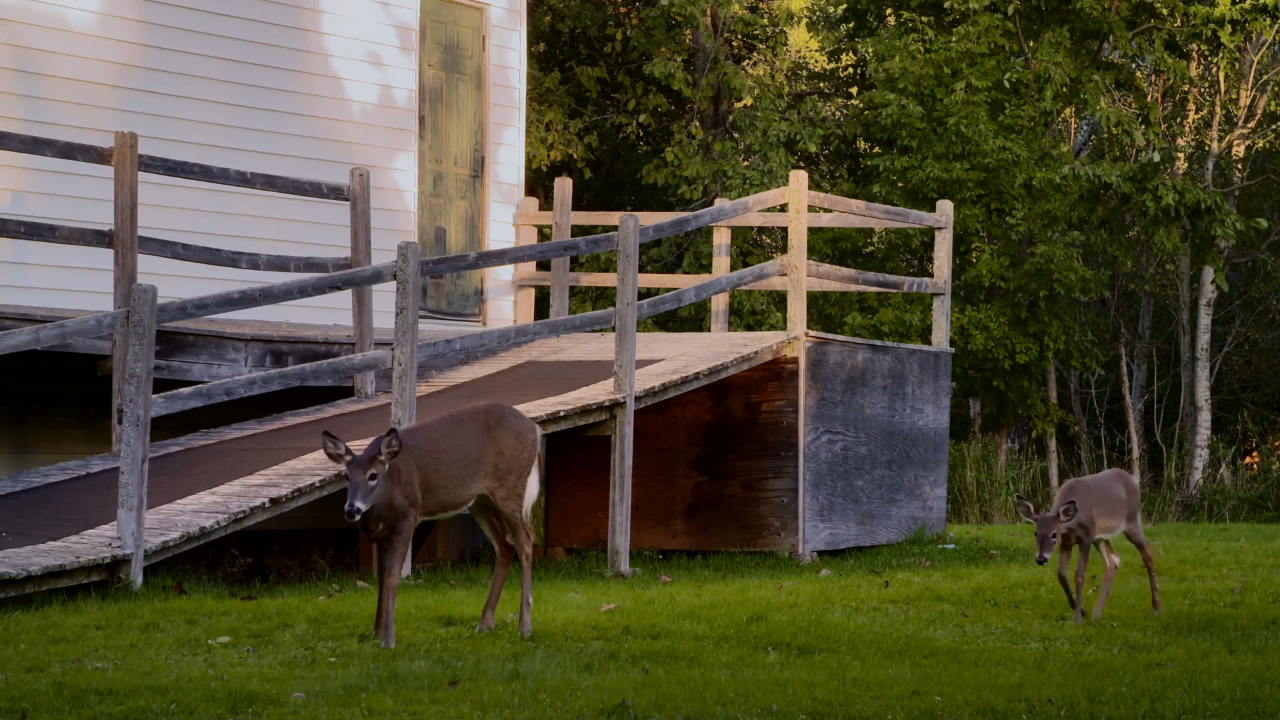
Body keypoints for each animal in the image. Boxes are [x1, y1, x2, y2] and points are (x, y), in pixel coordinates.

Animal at [322, 399, 542, 648]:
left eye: (372, 475)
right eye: (347, 477)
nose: (352, 509)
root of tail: (535, 428)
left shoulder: (409, 515)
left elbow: (392, 577)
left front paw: (388, 640)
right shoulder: (380, 532)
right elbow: (381, 578)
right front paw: (376, 631)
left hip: (510, 488)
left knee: (526, 540)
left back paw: (525, 627)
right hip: (480, 500)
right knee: (504, 545)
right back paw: (484, 624)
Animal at [1013, 466, 1167, 622]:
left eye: (1054, 534)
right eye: (1035, 533)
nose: (1041, 558)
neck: (1072, 523)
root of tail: (1133, 480)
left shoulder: (1086, 537)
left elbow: (1079, 576)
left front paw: (1077, 618)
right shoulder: (1067, 541)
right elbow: (1061, 574)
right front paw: (1082, 610)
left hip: (1132, 521)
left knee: (1147, 554)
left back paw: (1157, 607)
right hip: (1100, 537)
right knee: (1113, 561)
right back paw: (1096, 614)